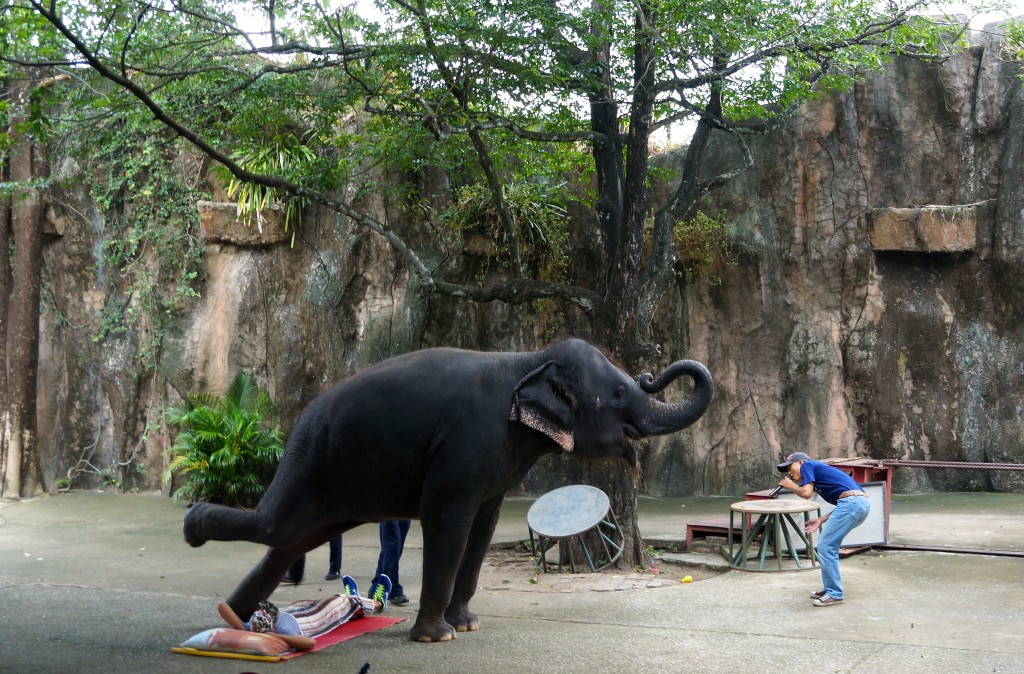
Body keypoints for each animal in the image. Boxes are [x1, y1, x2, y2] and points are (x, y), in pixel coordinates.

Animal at [183, 337, 713, 643]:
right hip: (310, 457)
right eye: (619, 393)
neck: (528, 358)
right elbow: (449, 520)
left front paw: (467, 624)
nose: (651, 372)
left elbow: (483, 526)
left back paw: (233, 618)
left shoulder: (496, 464)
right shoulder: (465, 446)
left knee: (292, 540)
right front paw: (437, 637)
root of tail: (299, 419)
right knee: (276, 524)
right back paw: (193, 529)